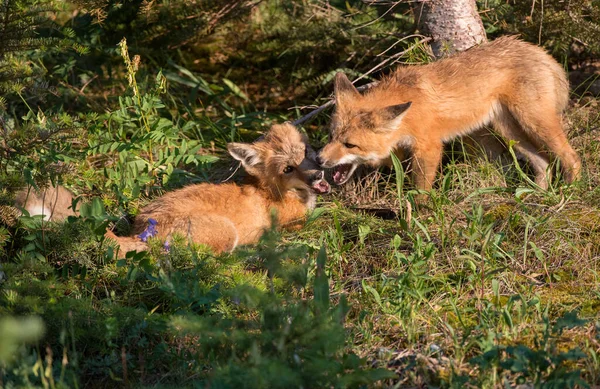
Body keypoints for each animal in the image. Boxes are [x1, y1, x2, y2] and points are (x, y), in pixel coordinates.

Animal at [110, 122, 330, 255]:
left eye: (306, 152)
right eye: (288, 169)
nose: (317, 175)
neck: (269, 192)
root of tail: (141, 232)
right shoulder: (295, 223)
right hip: (227, 234)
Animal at [318, 35, 580, 193]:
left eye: (350, 145)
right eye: (331, 137)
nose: (319, 159)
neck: (408, 113)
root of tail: (540, 51)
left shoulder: (429, 147)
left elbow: (420, 191)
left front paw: (418, 217)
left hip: (535, 123)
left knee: (572, 157)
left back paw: (568, 193)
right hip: (509, 131)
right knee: (543, 163)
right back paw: (537, 197)